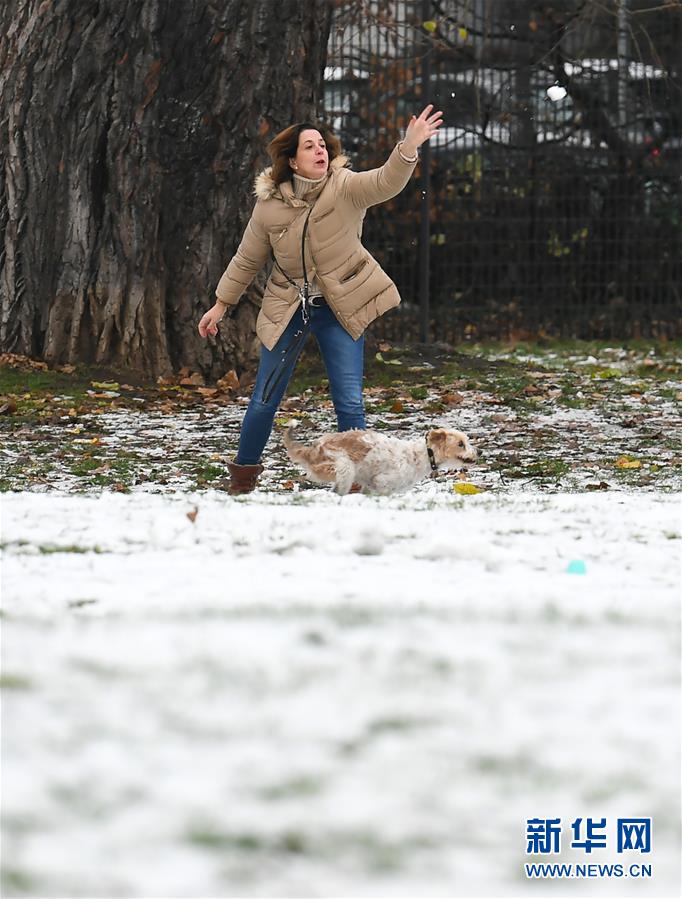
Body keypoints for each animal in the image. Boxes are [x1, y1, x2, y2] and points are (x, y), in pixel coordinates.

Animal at [278, 424, 476, 496]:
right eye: (460, 444)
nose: (479, 452)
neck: (422, 455)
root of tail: (314, 448)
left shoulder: (370, 486)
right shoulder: (382, 483)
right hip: (345, 468)